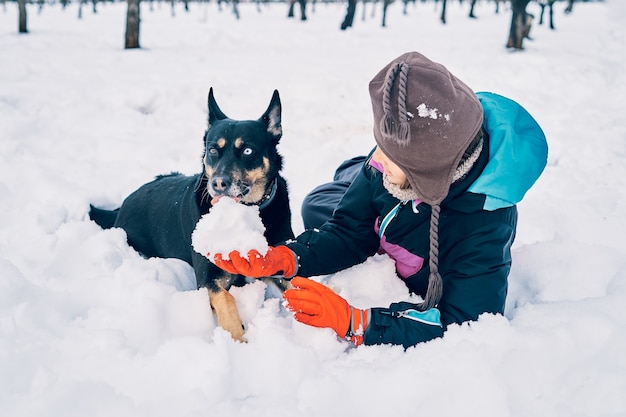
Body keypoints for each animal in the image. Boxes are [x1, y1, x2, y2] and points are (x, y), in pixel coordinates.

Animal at [88, 88, 294, 342]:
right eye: (213, 150)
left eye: (247, 150)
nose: (218, 184)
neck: (245, 212)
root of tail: (122, 205)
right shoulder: (208, 280)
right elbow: (226, 298)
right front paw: (237, 339)